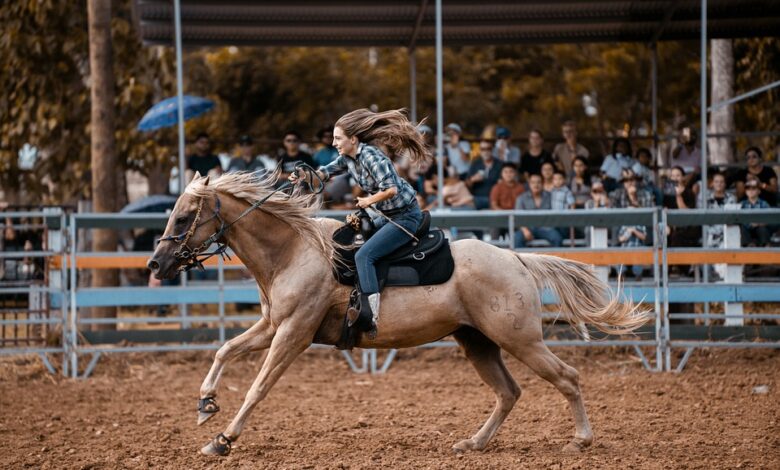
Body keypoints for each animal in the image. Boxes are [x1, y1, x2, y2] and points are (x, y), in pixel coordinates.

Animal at [146, 172, 644, 456]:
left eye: (184, 216)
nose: (155, 264)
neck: (294, 251)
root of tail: (516, 258)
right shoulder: (272, 325)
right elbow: (225, 351)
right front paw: (206, 405)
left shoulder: (293, 333)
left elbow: (257, 387)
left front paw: (222, 440)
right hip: (477, 341)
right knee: (508, 392)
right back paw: (473, 443)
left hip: (520, 339)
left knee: (567, 377)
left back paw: (580, 440)